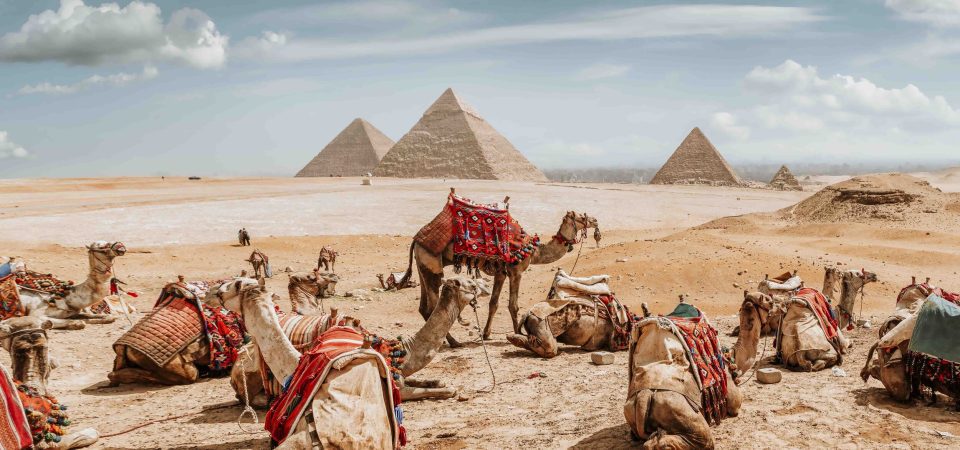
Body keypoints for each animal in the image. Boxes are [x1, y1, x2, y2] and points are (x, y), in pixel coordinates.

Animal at [399, 207, 599, 345]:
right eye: (582, 216)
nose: (595, 220)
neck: (533, 251)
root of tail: (416, 240)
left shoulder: (500, 273)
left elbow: (493, 303)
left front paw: (486, 334)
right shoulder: (516, 271)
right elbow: (513, 305)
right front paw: (519, 333)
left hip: (422, 265)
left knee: (424, 307)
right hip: (432, 264)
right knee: (434, 307)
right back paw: (453, 342)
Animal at [624, 306, 742, 449]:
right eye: (734, 370)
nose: (737, 377)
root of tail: (644, 395)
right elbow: (735, 403)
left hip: (630, 411)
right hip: (679, 411)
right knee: (704, 440)